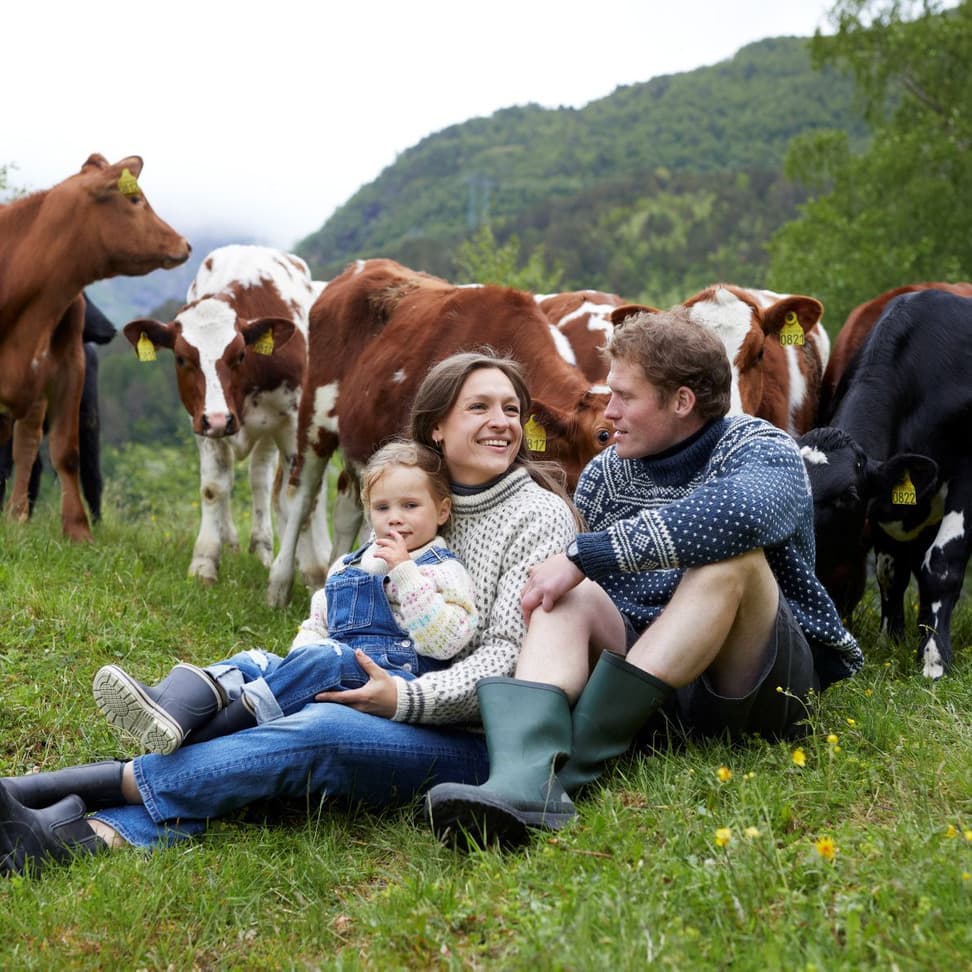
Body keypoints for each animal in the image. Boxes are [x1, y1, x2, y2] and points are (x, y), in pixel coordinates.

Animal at [123, 245, 329, 587]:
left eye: (240, 354)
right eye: (181, 358)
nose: (220, 419)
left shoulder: (293, 423)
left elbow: (300, 495)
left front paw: (311, 569)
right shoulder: (202, 423)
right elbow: (214, 487)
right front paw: (204, 561)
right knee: (257, 479)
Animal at [266, 257, 614, 607]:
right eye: (602, 435)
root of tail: (364, 266)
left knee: (347, 506)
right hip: (314, 418)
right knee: (302, 494)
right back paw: (279, 586)